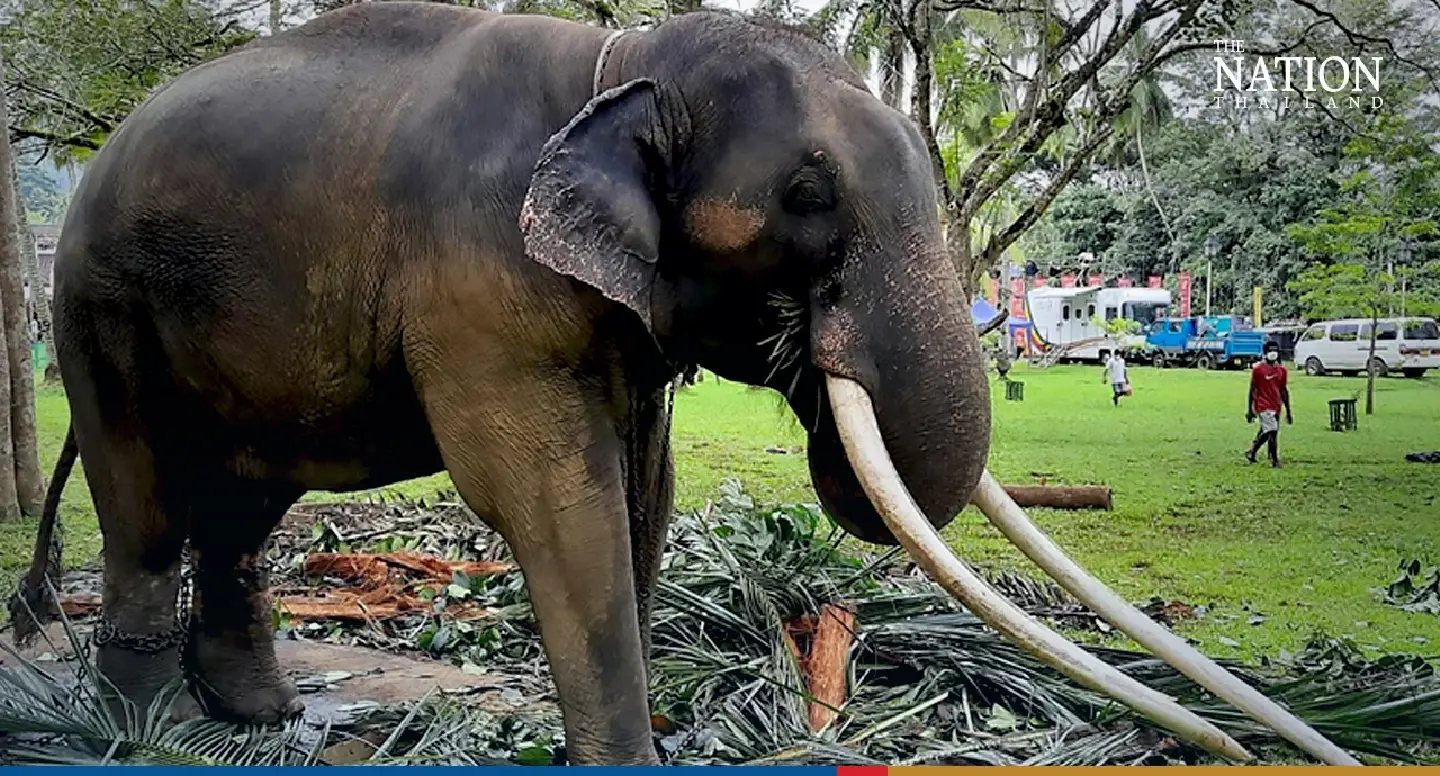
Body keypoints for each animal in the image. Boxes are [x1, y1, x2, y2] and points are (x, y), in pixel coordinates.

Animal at [9, 1, 1353, 765]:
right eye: (806, 197)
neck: (623, 58)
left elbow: (642, 492)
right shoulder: (476, 280)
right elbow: (556, 501)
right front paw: (622, 754)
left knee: (241, 508)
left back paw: (258, 719)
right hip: (96, 306)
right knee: (147, 505)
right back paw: (137, 734)